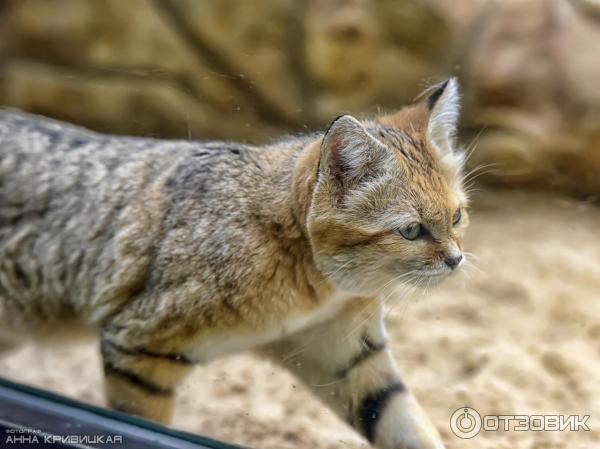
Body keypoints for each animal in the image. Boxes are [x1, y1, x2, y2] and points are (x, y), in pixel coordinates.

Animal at [0, 79, 468, 446]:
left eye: (457, 217)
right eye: (412, 230)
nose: (456, 259)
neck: (316, 290)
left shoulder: (348, 357)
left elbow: (404, 424)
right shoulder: (137, 348)